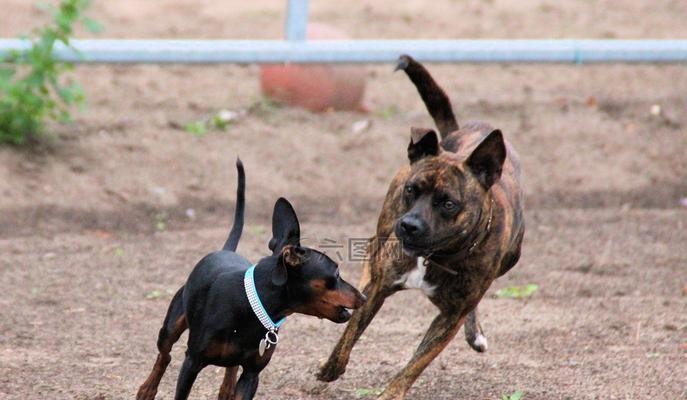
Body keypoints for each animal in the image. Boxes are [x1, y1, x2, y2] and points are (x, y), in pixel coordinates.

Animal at [136, 160, 368, 400]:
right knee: (165, 354)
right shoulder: (192, 362)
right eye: (337, 273)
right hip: (172, 325)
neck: (250, 308)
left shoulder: (252, 374)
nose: (364, 296)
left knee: (230, 367)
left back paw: (226, 389)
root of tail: (225, 250)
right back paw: (147, 389)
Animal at [318, 54, 528, 398]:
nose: (409, 226)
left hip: (507, 262)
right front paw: (331, 367)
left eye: (448, 203)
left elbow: (416, 364)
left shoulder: (450, 318)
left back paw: (476, 333)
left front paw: (391, 393)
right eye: (411, 190)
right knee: (371, 254)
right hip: (384, 227)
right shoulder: (380, 288)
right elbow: (351, 332)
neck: (435, 256)